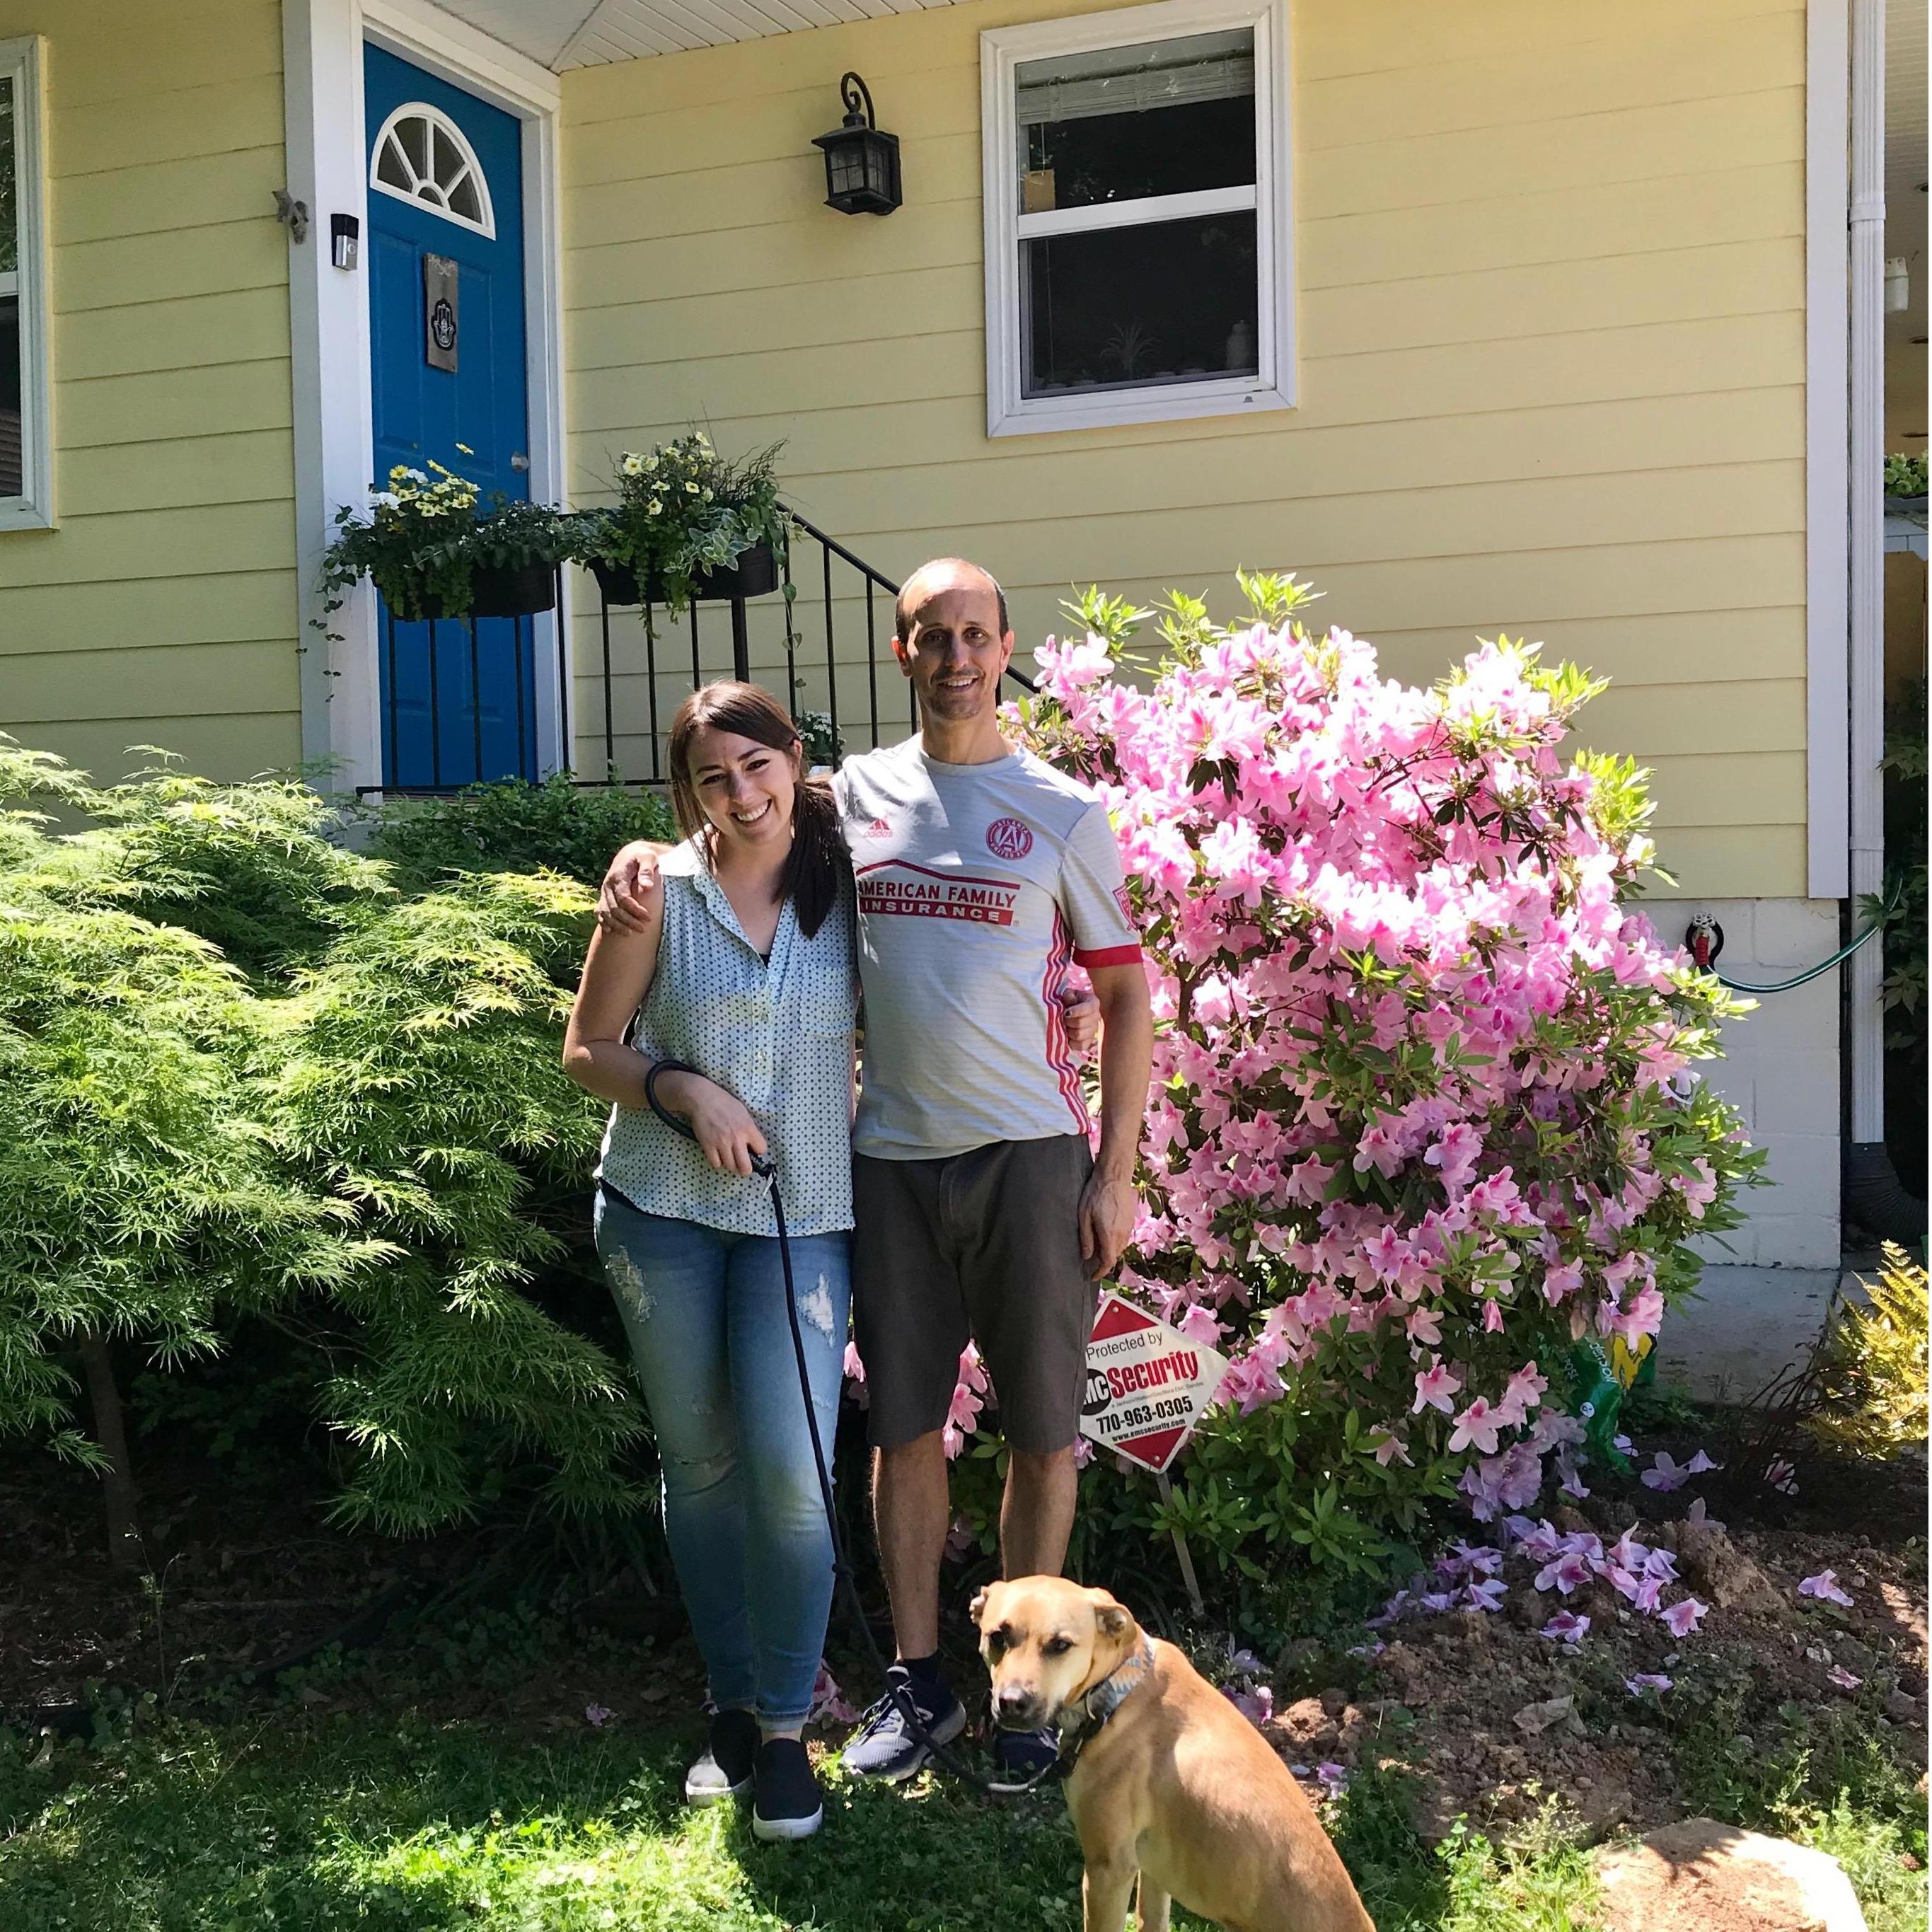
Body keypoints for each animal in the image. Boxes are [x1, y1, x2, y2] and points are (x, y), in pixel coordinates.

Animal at [972, 1577, 1375, 1932]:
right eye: (998, 1637)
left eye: (1059, 1645)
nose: (1011, 1703)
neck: (1118, 1690)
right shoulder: (1154, 1871)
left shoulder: (1109, 1868)